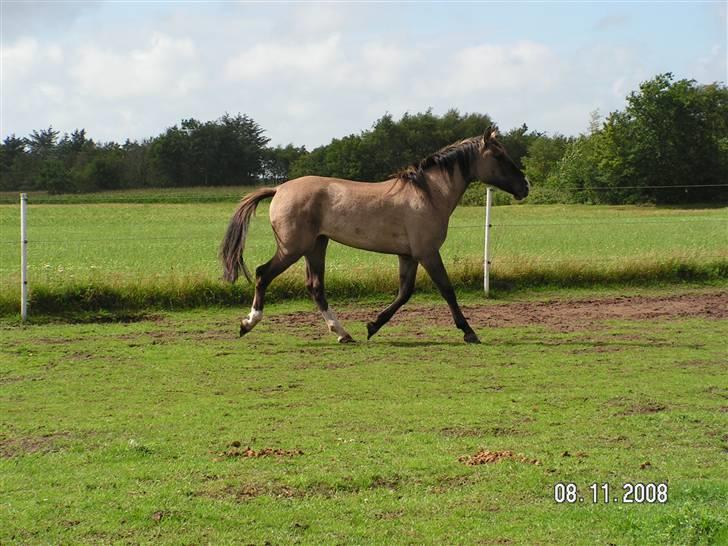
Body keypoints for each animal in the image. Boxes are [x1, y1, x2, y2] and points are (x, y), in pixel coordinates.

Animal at [220, 125, 528, 342]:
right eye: (498, 155)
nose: (525, 186)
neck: (428, 194)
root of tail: (279, 189)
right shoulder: (428, 252)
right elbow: (446, 290)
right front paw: (469, 332)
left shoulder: (408, 255)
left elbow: (404, 293)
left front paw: (372, 326)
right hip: (292, 248)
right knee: (263, 274)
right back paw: (248, 324)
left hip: (316, 246)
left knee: (315, 287)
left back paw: (343, 334)